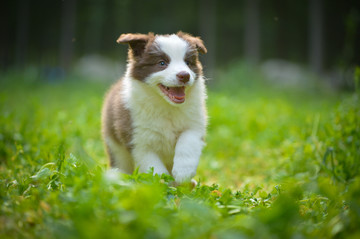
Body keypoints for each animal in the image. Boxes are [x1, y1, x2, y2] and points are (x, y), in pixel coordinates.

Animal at [102, 31, 207, 184]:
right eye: (162, 63)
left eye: (188, 63)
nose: (184, 75)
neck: (166, 105)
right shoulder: (137, 138)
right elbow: (154, 168)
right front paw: (161, 184)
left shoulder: (195, 123)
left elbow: (188, 142)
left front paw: (183, 172)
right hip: (115, 145)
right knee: (121, 164)